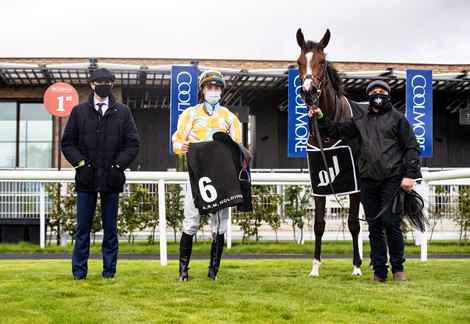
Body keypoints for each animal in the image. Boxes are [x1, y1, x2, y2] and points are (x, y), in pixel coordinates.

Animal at [296, 28, 366, 276]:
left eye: (322, 61)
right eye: (298, 62)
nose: (309, 92)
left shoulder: (355, 184)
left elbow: (354, 223)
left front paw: (356, 266)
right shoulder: (319, 183)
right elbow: (318, 224)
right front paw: (315, 267)